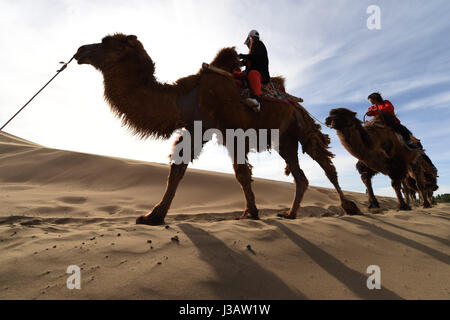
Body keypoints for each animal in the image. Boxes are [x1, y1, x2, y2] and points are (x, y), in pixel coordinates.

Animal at [75, 33, 360, 225]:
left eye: (106, 41)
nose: (79, 49)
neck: (187, 96)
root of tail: (295, 102)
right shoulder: (197, 126)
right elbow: (177, 168)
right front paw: (152, 216)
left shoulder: (232, 129)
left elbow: (241, 173)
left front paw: (250, 213)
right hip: (284, 139)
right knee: (300, 175)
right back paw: (291, 213)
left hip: (300, 125)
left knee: (326, 165)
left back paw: (349, 207)